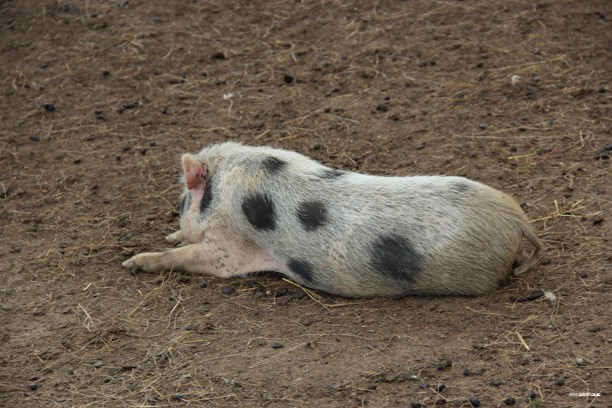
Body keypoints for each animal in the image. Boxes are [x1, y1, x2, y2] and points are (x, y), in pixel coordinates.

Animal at [122, 142, 544, 298]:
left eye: (182, 199)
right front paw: (167, 237)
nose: (177, 218)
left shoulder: (228, 251)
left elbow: (193, 258)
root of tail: (515, 218)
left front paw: (132, 263)